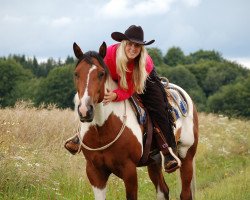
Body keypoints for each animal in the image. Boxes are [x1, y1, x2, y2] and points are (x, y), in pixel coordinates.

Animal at [65, 41, 199, 199]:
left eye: (101, 74)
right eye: (76, 73)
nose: (85, 111)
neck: (102, 130)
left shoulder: (129, 170)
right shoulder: (94, 172)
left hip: (186, 154)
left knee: (185, 193)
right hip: (154, 161)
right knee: (163, 190)